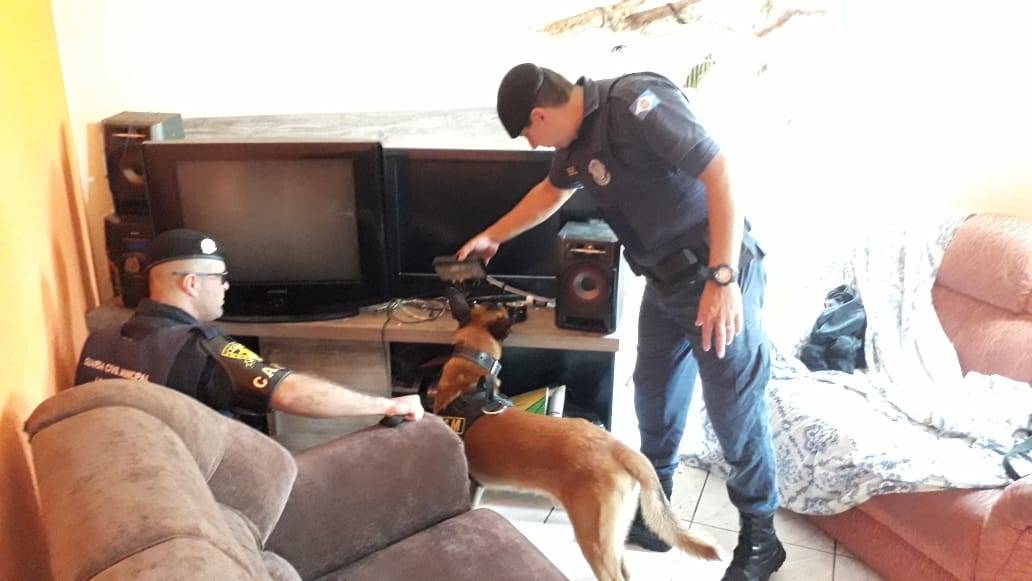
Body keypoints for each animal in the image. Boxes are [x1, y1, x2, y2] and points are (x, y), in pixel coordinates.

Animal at [433, 291, 720, 581]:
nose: (519, 310)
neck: (468, 377)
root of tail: (619, 448)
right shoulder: (476, 485)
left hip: (594, 539)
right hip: (614, 537)